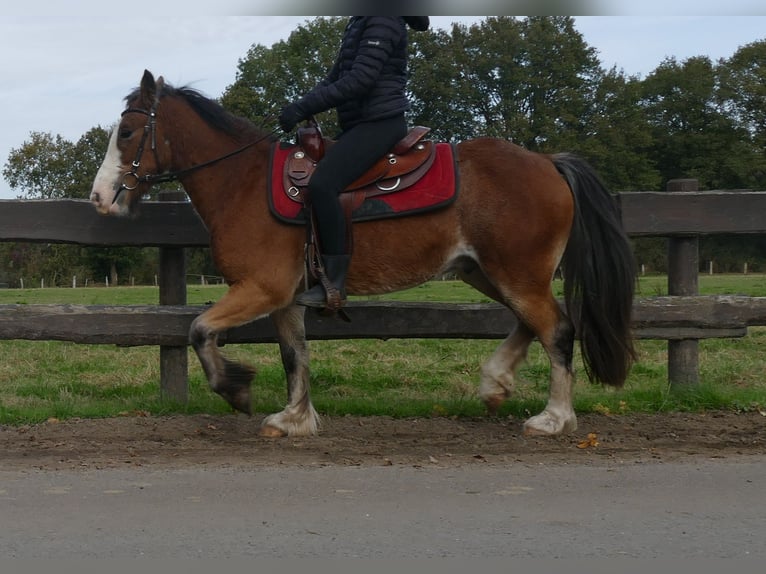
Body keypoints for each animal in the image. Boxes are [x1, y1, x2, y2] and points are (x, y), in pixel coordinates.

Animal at [90, 71, 640, 440]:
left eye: (128, 133)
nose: (99, 197)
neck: (242, 182)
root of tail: (548, 161)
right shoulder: (285, 297)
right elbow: (295, 355)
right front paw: (295, 418)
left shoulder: (260, 289)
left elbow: (200, 330)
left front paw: (236, 389)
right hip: (486, 272)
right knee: (533, 323)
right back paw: (495, 384)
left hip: (517, 273)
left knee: (558, 329)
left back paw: (554, 418)